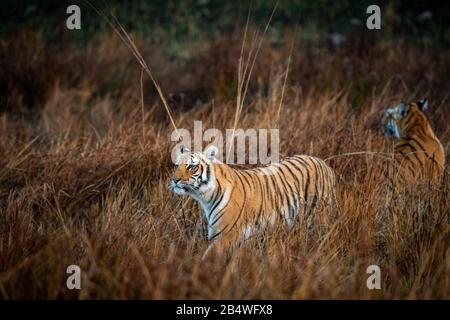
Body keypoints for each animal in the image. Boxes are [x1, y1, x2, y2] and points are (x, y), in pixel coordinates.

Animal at [170, 144, 338, 256]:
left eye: (191, 166)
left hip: (319, 218)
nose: (174, 180)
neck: (205, 197)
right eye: (177, 165)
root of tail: (323, 163)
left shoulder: (225, 235)